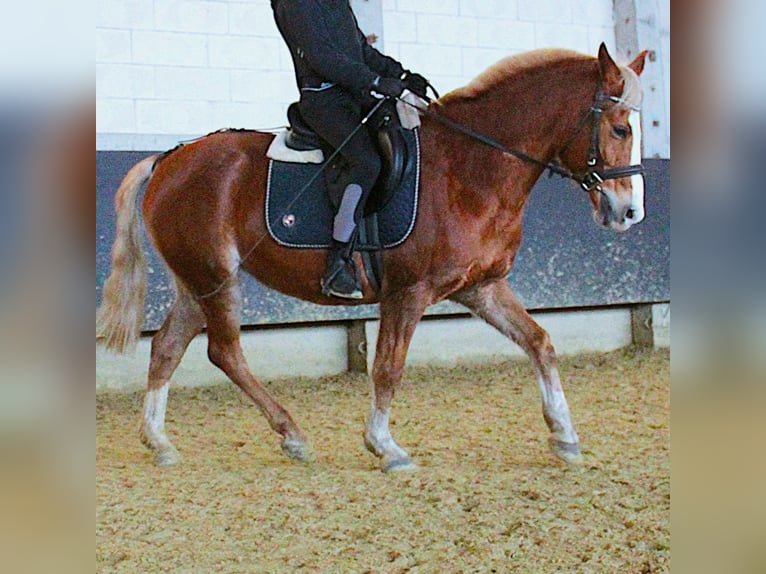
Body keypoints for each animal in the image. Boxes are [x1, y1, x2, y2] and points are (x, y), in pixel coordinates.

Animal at [96, 44, 648, 472]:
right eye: (620, 129)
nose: (629, 211)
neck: (470, 167)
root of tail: (169, 157)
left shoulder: (481, 287)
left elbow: (541, 343)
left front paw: (565, 436)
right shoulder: (408, 292)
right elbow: (388, 368)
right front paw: (385, 447)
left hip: (197, 280)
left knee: (167, 346)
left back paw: (160, 442)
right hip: (215, 275)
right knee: (224, 351)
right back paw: (291, 433)